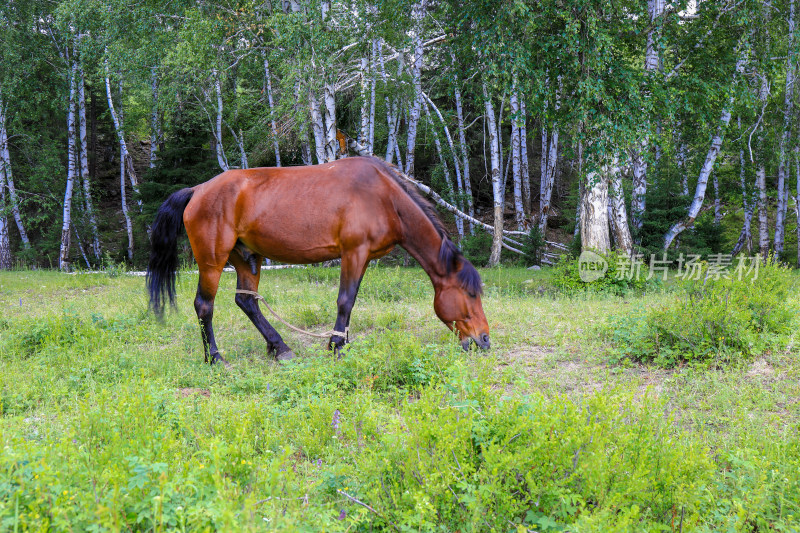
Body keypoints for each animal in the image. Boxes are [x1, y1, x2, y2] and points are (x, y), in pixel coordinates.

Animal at [147, 156, 490, 364]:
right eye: (469, 294)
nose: (484, 340)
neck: (384, 198)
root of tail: (197, 190)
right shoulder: (354, 252)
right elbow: (345, 301)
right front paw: (336, 347)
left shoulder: (361, 257)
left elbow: (350, 302)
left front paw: (341, 343)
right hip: (212, 261)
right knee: (204, 306)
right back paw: (215, 358)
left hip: (247, 258)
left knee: (247, 302)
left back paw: (280, 348)